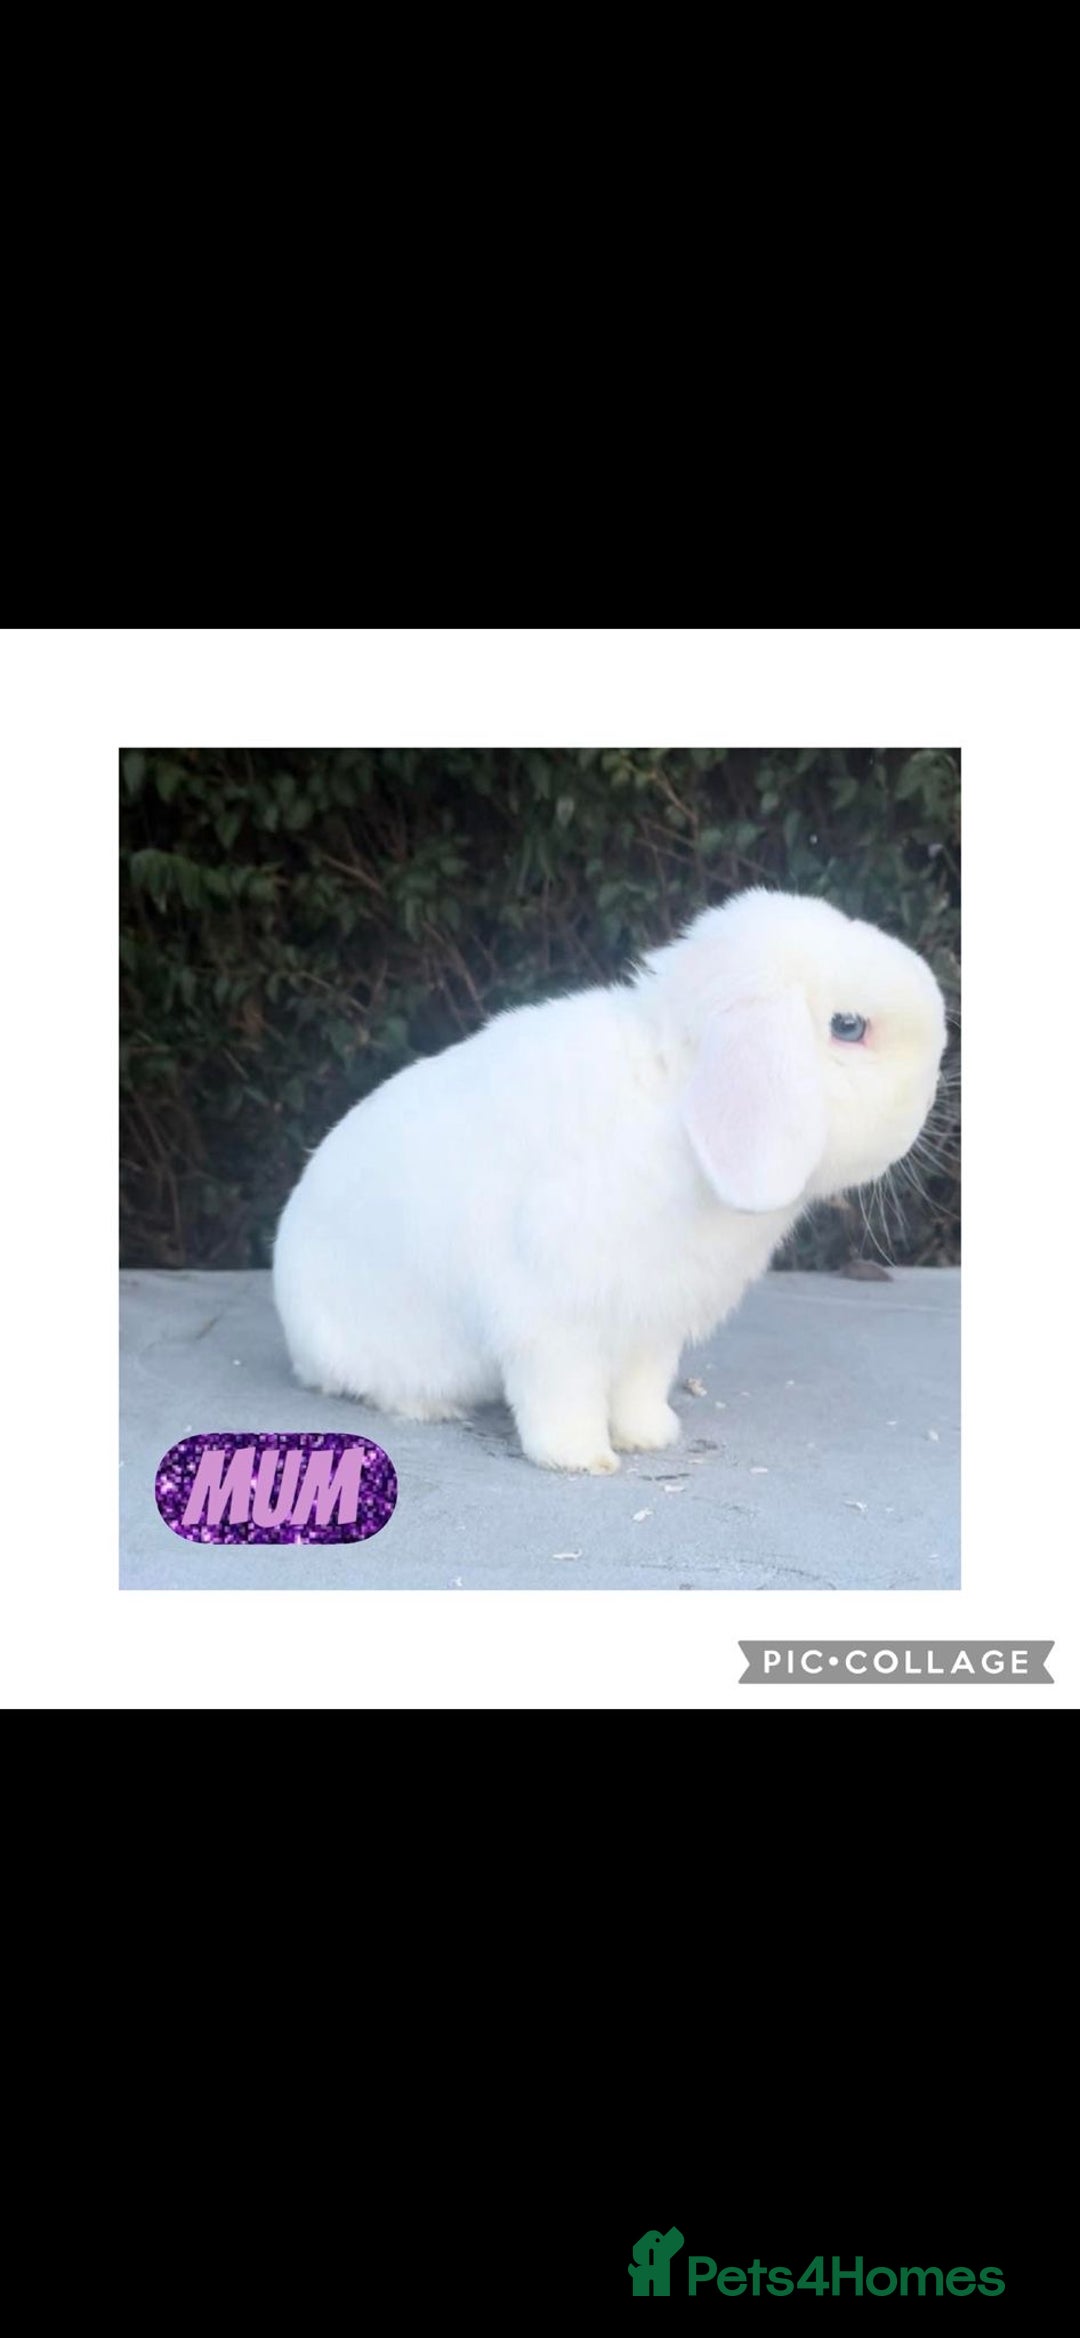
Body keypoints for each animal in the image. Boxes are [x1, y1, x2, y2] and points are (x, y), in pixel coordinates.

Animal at [273, 888, 948, 1473]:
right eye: (849, 1026)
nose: (932, 1092)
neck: (677, 1097)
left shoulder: (652, 1324)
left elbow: (640, 1388)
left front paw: (651, 1436)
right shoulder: (552, 1318)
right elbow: (560, 1393)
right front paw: (581, 1458)